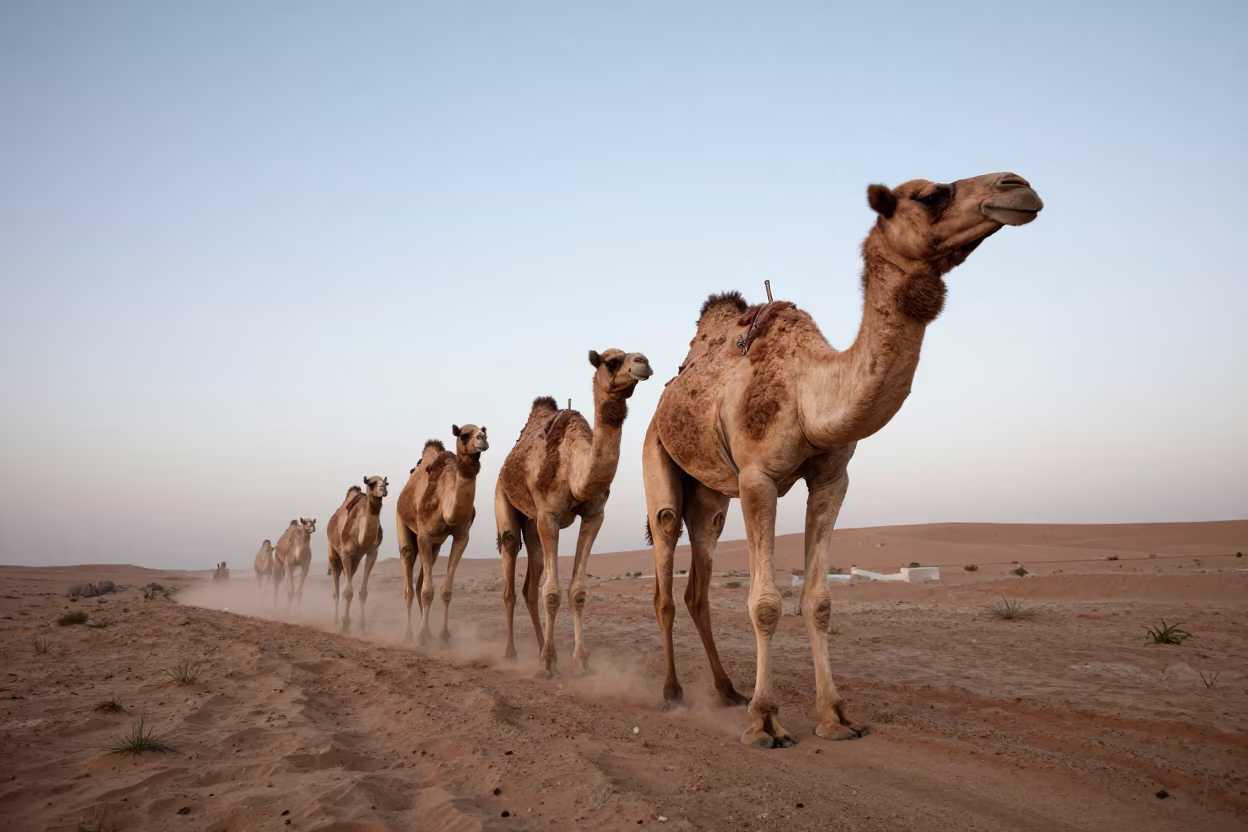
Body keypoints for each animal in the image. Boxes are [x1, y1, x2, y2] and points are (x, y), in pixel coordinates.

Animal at [327, 476, 389, 632]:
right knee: (336, 589)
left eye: (385, 482)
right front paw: (345, 627)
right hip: (333, 552)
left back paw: (343, 617)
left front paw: (361, 626)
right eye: (371, 483)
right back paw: (336, 621)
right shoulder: (345, 552)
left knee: (345, 581)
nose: (383, 489)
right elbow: (348, 592)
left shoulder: (372, 552)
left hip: (355, 560)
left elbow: (362, 592)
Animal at [395, 425, 489, 645]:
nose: (482, 438)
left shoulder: (462, 536)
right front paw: (422, 637)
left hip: (435, 546)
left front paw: (444, 637)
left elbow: (445, 590)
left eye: (483, 430)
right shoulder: (423, 535)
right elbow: (427, 591)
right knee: (408, 582)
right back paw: (408, 635)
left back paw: (427, 632)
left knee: (419, 583)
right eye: (464, 434)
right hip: (402, 523)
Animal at [496, 349, 653, 676]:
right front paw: (547, 663)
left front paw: (581, 660)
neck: (574, 467)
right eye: (612, 361)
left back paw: (540, 645)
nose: (643, 362)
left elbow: (577, 591)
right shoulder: (549, 517)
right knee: (510, 579)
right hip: (505, 500)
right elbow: (552, 592)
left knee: (531, 583)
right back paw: (512, 652)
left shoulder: (594, 516)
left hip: (532, 525)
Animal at [642, 172, 1043, 748]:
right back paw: (674, 693)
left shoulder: (832, 478)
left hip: (713, 496)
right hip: (658, 455)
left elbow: (819, 601)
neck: (808, 390)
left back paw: (726, 691)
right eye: (930, 194)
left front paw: (834, 716)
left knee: (699, 584)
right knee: (665, 572)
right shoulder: (759, 479)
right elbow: (765, 604)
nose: (1019, 186)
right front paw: (766, 722)